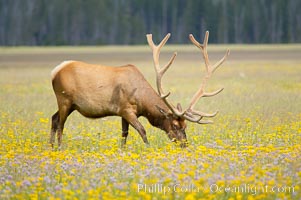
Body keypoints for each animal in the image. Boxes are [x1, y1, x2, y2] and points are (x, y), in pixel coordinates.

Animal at [50, 31, 229, 148]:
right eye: (175, 125)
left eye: (185, 126)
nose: (184, 144)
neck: (142, 101)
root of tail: (55, 71)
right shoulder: (126, 109)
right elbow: (142, 131)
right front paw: (148, 149)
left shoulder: (123, 113)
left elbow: (124, 134)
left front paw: (122, 151)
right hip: (64, 100)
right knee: (60, 124)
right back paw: (59, 147)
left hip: (71, 105)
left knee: (54, 118)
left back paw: (51, 147)